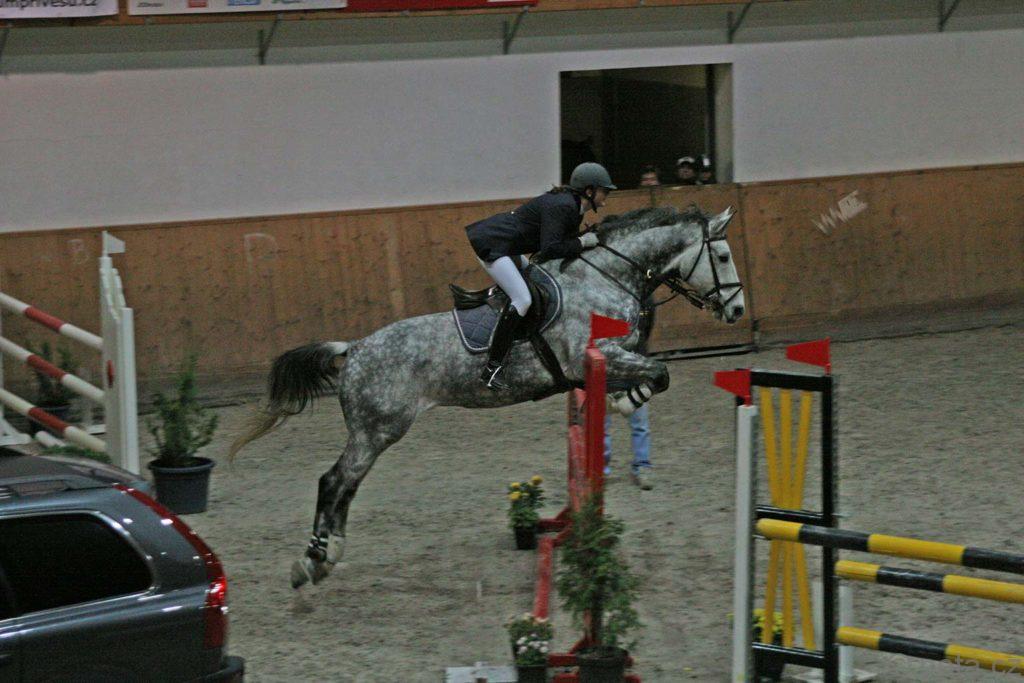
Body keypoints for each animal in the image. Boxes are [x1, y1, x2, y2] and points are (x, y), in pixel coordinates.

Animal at [229, 204, 745, 588]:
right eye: (722, 257)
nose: (738, 309)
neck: (605, 275)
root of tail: (353, 348)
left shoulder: (603, 363)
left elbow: (654, 372)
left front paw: (628, 400)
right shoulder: (596, 358)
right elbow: (659, 373)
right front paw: (627, 399)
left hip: (374, 433)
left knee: (346, 485)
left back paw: (329, 552)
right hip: (377, 430)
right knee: (334, 481)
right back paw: (314, 559)